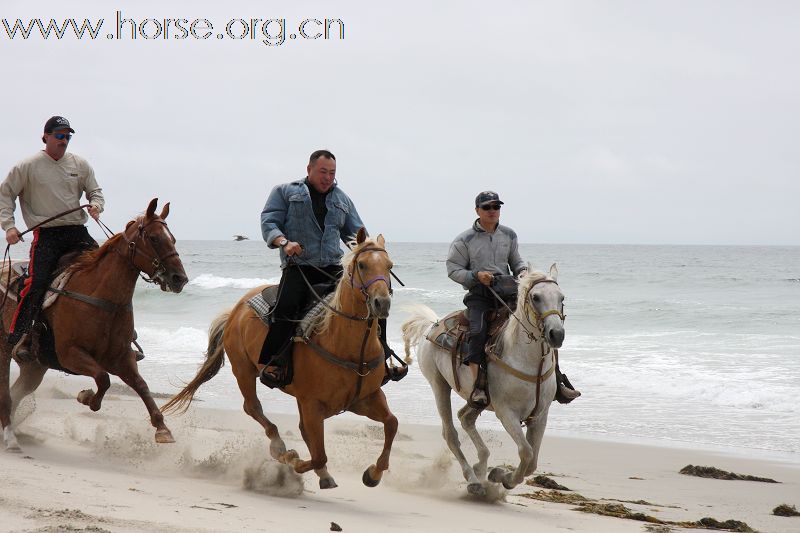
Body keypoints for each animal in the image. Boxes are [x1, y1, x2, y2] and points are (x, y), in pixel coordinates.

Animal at [0, 198, 189, 448]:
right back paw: (9, 434)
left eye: (173, 238)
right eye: (154, 238)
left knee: (18, 391)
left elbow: (141, 385)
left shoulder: (121, 357)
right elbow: (103, 378)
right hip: (5, 349)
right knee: (6, 391)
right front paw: (87, 397)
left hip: (34, 365)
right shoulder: (69, 354)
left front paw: (162, 428)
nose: (179, 279)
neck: (103, 299)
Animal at [161, 227, 398, 488]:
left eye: (389, 266)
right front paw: (292, 459)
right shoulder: (313, 404)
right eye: (363, 265)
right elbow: (318, 455)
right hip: (243, 370)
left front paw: (373, 473)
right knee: (252, 407)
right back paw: (279, 447)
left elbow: (392, 423)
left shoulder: (365, 398)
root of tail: (235, 310)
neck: (348, 345)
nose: (382, 302)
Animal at [404, 264, 564, 494]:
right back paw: (473, 480)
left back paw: (480, 465)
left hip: (477, 399)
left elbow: (532, 461)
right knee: (451, 435)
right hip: (439, 385)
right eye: (536, 297)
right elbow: (526, 452)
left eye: (561, 297)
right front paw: (501, 476)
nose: (556, 334)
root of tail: (431, 325)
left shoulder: (540, 415)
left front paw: (498, 474)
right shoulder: (506, 413)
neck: (528, 361)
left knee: (465, 418)